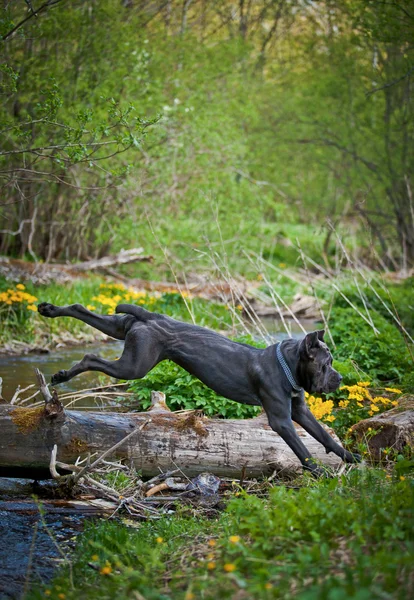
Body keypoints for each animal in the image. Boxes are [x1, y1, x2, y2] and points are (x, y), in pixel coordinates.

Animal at [39, 302, 362, 476]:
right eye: (327, 363)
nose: (339, 378)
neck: (288, 367)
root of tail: (150, 316)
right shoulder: (281, 420)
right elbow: (301, 449)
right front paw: (319, 472)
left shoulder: (300, 411)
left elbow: (324, 436)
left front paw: (351, 458)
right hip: (134, 365)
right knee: (90, 357)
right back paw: (63, 372)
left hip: (121, 329)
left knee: (82, 310)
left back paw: (48, 311)